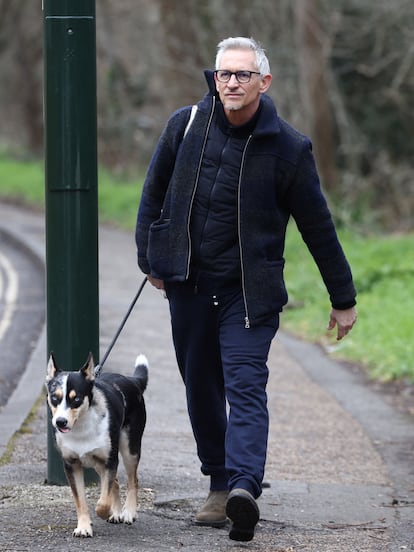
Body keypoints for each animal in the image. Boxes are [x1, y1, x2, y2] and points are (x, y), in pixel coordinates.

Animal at [45, 352, 148, 536]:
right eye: (54, 397)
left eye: (76, 399)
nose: (60, 422)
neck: (81, 426)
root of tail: (132, 381)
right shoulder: (72, 465)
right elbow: (80, 500)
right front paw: (84, 527)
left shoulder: (110, 461)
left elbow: (103, 502)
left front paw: (105, 512)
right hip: (97, 463)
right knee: (115, 483)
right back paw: (117, 513)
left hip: (129, 449)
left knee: (132, 480)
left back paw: (128, 512)